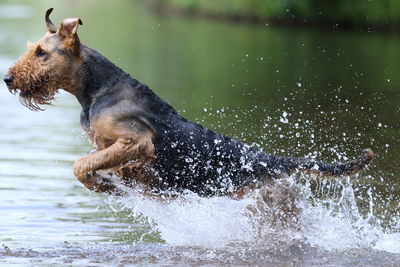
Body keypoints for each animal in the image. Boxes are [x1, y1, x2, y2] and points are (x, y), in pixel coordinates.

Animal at [3, 8, 374, 197]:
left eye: (41, 53)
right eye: (32, 49)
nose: (8, 79)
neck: (97, 89)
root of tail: (276, 161)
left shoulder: (136, 141)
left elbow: (81, 165)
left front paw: (106, 183)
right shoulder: (109, 145)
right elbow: (97, 165)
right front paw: (112, 182)